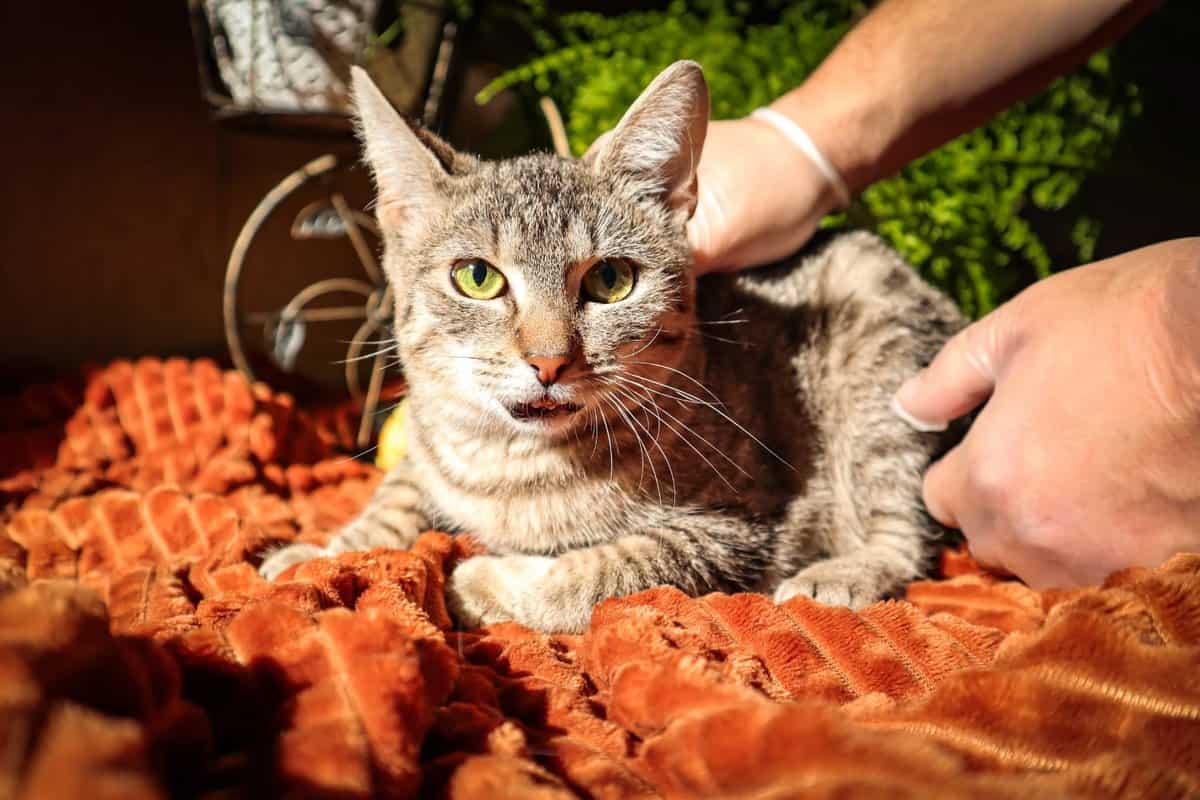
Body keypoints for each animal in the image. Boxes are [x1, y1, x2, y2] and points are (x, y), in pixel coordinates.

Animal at [260, 59, 964, 633]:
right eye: (477, 276)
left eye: (611, 280)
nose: (548, 360)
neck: (508, 465)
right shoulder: (426, 454)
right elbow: (396, 498)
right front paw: (321, 552)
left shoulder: (740, 527)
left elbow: (614, 566)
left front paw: (481, 580)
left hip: (879, 369)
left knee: (902, 529)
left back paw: (845, 573)